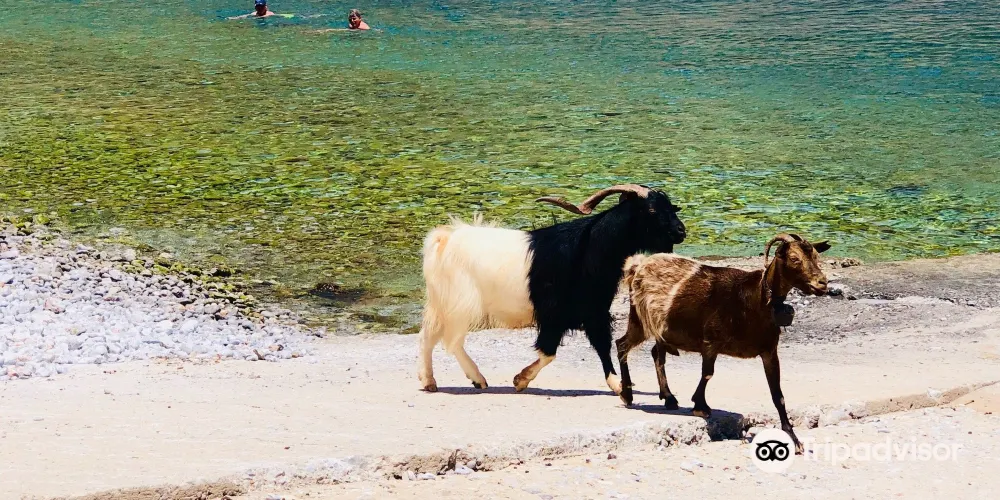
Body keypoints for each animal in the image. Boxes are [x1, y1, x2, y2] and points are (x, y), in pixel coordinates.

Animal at [418, 184, 687, 394]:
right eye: (651, 210)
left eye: (670, 206)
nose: (681, 231)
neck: (589, 250)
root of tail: (444, 239)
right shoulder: (554, 315)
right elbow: (549, 351)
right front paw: (520, 380)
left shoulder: (594, 312)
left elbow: (602, 345)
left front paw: (617, 385)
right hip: (460, 303)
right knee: (449, 340)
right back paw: (472, 379)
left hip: (443, 302)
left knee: (429, 334)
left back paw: (431, 380)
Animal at [615, 233, 830, 453]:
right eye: (794, 259)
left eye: (816, 256)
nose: (822, 283)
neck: (755, 298)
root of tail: (638, 265)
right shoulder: (711, 342)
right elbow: (708, 373)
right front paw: (700, 406)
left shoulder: (769, 351)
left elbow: (778, 395)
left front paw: (794, 439)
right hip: (639, 320)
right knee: (622, 345)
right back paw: (627, 394)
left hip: (661, 330)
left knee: (656, 354)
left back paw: (668, 397)